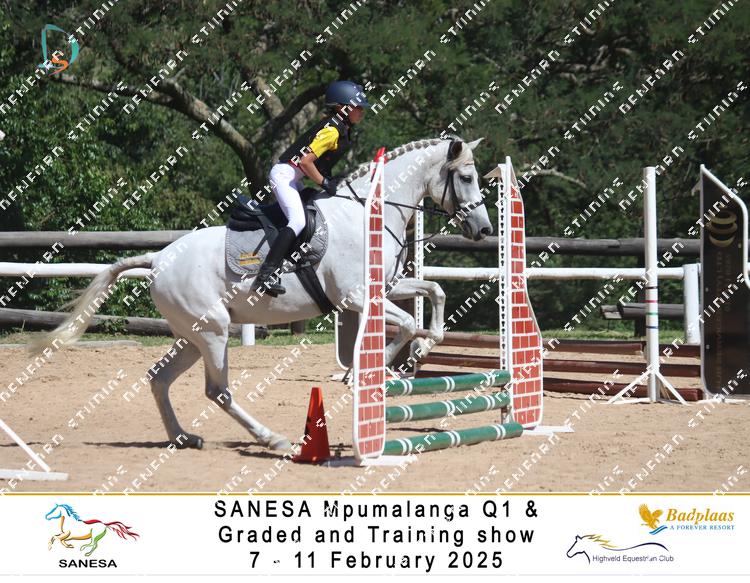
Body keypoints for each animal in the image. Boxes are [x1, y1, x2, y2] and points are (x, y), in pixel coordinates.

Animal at [32, 137, 492, 453]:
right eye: (466, 177)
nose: (485, 230)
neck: (367, 214)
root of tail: (159, 258)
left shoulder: (386, 288)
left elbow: (434, 294)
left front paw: (414, 356)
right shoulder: (356, 298)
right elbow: (410, 321)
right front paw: (381, 368)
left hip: (192, 336)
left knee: (159, 379)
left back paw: (183, 438)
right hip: (214, 331)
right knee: (217, 391)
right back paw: (274, 440)